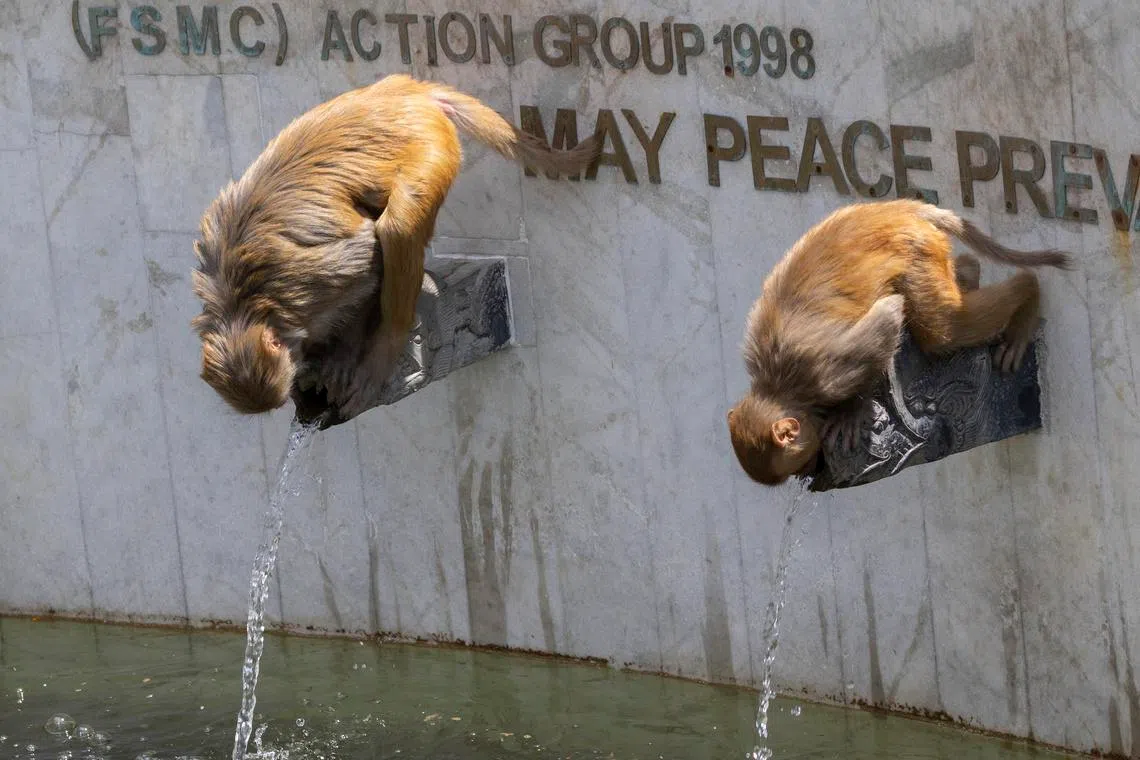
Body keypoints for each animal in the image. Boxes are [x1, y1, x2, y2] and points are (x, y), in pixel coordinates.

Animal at [190, 73, 601, 419]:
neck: (239, 302)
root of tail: (408, 91)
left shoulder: (311, 281)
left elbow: (367, 265)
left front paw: (346, 353)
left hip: (431, 144)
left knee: (398, 225)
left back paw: (389, 340)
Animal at [726, 198, 1074, 487]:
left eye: (799, 462)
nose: (808, 470)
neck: (781, 386)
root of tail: (893, 210)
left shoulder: (828, 372)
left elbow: (889, 315)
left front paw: (853, 409)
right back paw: (971, 271)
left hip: (917, 251)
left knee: (943, 327)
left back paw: (1027, 290)